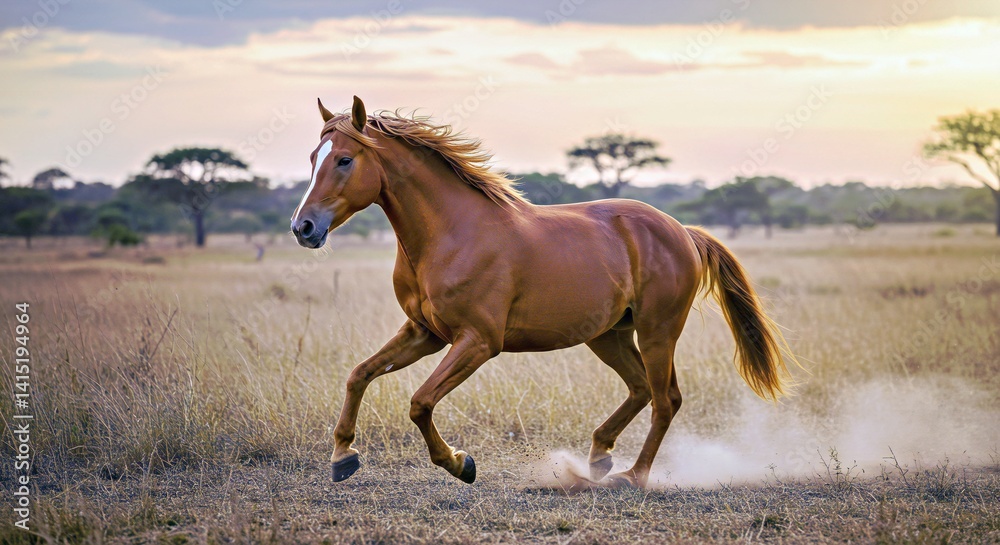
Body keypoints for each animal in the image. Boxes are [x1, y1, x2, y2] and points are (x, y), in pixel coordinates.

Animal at [290, 96, 795, 488]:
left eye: (344, 159)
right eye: (313, 157)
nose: (303, 228)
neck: (451, 234)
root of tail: (682, 232)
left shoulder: (478, 342)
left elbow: (420, 402)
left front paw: (460, 464)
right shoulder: (424, 332)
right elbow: (359, 374)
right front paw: (343, 457)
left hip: (658, 332)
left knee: (665, 399)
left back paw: (631, 476)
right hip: (609, 335)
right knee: (639, 389)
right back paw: (598, 457)